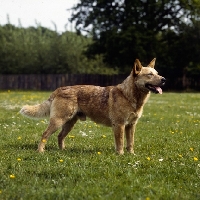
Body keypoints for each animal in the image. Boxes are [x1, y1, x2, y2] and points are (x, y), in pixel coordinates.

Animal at [19, 57, 166, 155]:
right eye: (150, 74)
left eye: (157, 73)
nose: (164, 79)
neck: (129, 96)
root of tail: (58, 89)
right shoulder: (119, 125)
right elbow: (120, 142)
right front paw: (120, 155)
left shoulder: (131, 125)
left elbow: (130, 143)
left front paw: (131, 155)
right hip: (58, 121)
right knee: (45, 134)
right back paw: (40, 151)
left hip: (69, 123)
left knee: (60, 136)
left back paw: (63, 151)